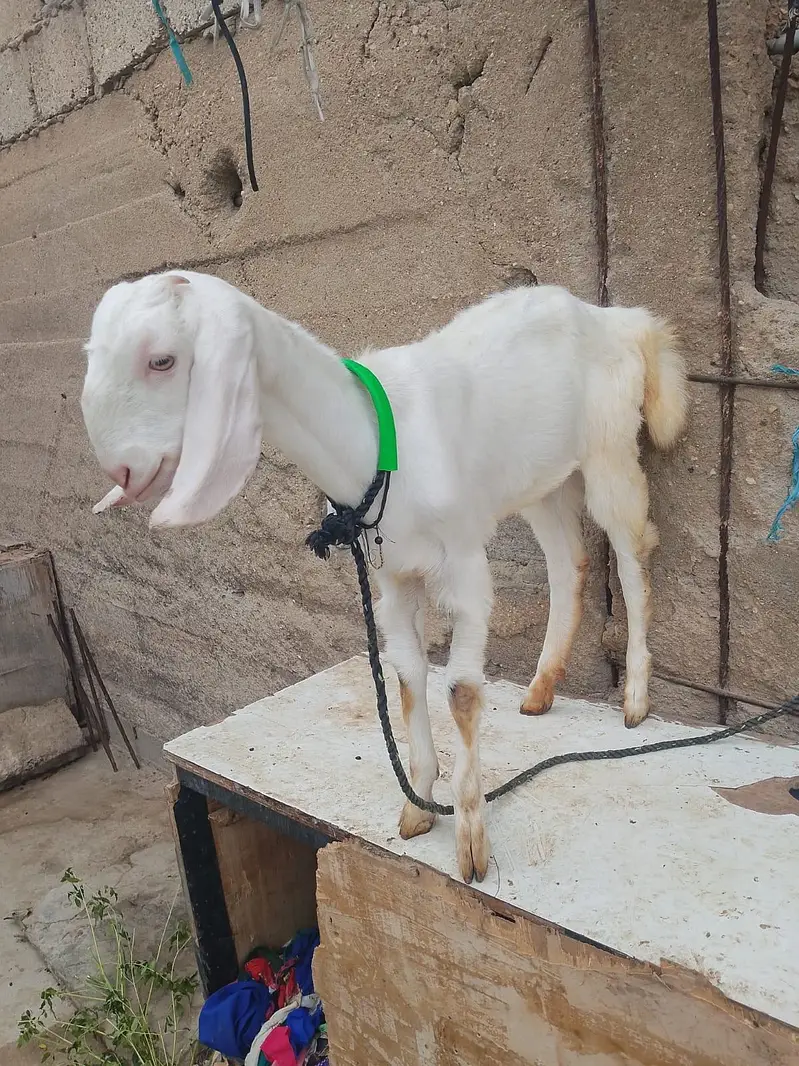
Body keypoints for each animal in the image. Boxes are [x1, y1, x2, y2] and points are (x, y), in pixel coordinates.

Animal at [81, 271, 687, 883]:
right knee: (569, 564)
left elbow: (461, 692)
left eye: (161, 360)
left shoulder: (465, 566)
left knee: (631, 555)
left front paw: (471, 841)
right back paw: (540, 690)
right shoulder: (394, 576)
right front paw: (418, 804)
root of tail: (620, 319)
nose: (122, 470)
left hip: (609, 450)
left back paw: (635, 698)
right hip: (541, 480)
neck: (372, 445)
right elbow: (406, 677)